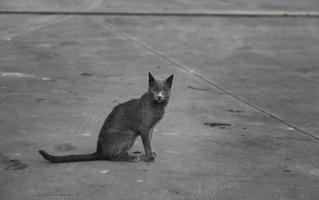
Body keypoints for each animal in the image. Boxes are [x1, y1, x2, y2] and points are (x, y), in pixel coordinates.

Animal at [40, 73, 175, 162]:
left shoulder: (151, 128)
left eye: (163, 91)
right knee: (112, 157)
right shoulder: (144, 128)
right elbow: (147, 143)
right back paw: (132, 157)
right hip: (129, 133)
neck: (157, 106)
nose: (159, 96)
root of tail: (100, 151)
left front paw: (151, 153)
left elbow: (150, 141)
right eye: (154, 90)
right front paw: (149, 157)